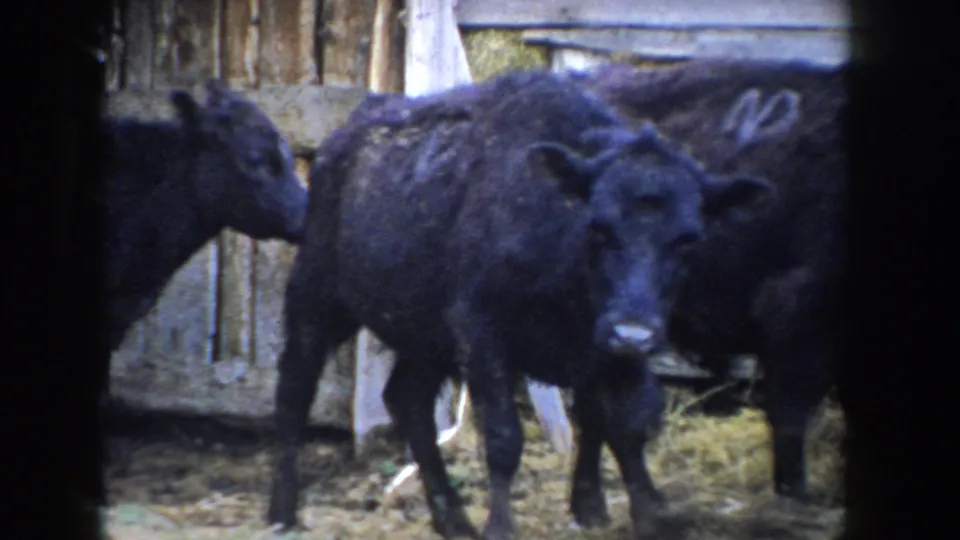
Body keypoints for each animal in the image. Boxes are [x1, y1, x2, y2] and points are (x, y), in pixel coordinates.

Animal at [265, 69, 773, 540]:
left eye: (688, 240)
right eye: (598, 227)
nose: (632, 332)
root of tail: (349, 132)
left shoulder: (608, 352)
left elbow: (621, 423)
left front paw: (636, 514)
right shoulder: (483, 335)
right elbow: (505, 437)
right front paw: (500, 526)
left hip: (427, 336)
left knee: (407, 400)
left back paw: (452, 518)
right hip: (316, 298)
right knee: (294, 389)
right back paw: (282, 510)